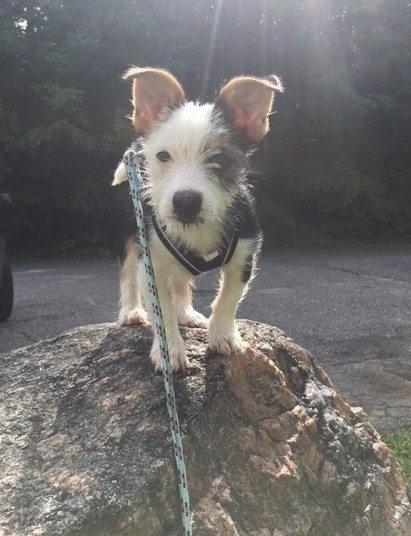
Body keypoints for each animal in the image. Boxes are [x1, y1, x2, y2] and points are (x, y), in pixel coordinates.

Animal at [112, 66, 284, 372]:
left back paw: (187, 313)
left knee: (180, 281)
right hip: (130, 238)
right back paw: (131, 311)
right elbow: (161, 309)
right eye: (163, 156)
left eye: (220, 159)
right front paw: (170, 350)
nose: (186, 201)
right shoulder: (151, 263)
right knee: (128, 277)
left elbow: (228, 297)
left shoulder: (245, 254)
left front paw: (223, 336)